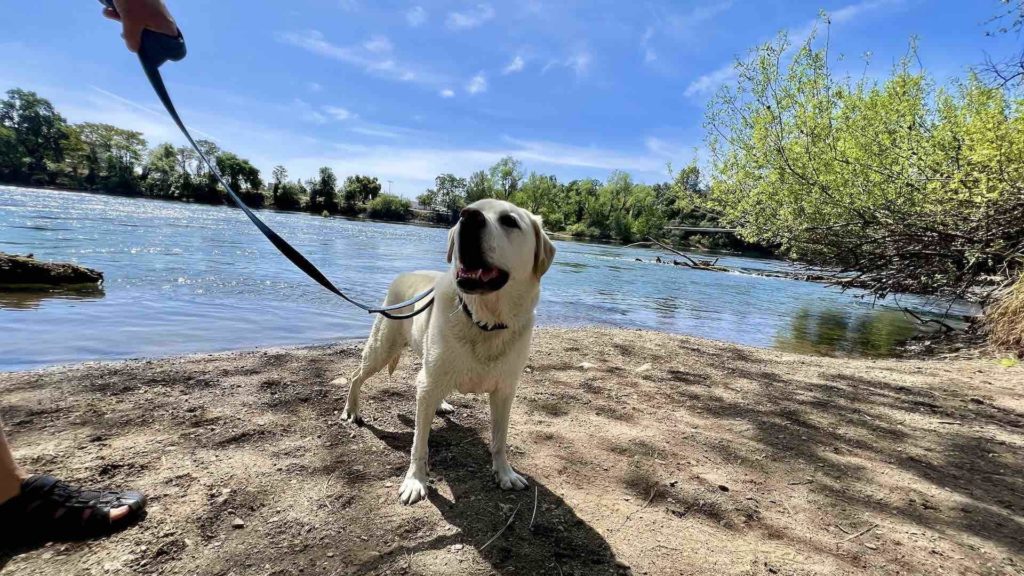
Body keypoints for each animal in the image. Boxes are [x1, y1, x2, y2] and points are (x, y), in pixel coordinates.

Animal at [339, 196, 557, 502]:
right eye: (469, 210)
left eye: (509, 220)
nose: (468, 216)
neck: (484, 321)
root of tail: (404, 275)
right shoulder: (429, 384)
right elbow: (419, 444)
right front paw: (415, 481)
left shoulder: (505, 391)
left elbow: (499, 439)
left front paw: (504, 473)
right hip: (382, 348)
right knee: (356, 376)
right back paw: (352, 409)